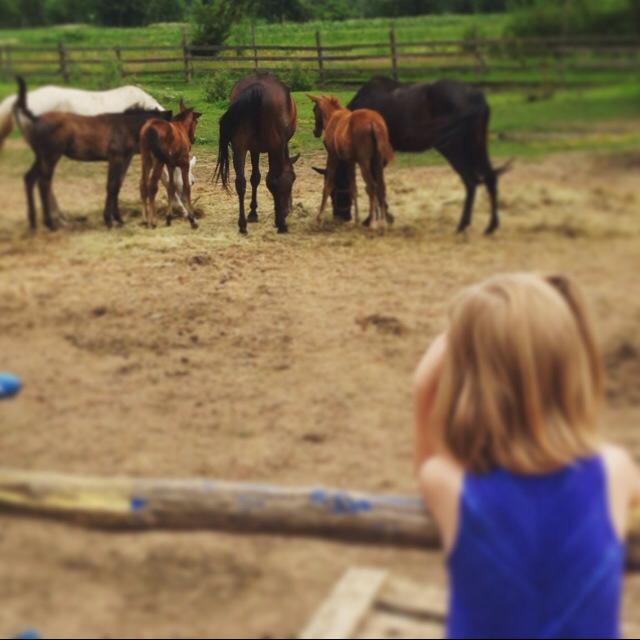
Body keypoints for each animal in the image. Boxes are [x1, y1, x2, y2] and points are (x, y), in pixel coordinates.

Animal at [141, 97, 201, 230]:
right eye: (196, 122)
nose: (193, 139)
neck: (180, 128)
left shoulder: (171, 165)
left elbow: (171, 187)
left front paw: (169, 218)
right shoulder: (184, 164)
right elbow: (186, 187)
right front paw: (192, 219)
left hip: (146, 159)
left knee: (143, 184)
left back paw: (145, 219)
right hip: (158, 161)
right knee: (152, 186)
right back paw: (152, 221)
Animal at [212, 73, 298, 232]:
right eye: (293, 179)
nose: (288, 209)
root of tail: (257, 89)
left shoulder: (253, 149)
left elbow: (255, 178)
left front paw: (252, 212)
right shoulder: (275, 148)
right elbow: (271, 180)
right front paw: (278, 216)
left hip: (239, 148)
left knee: (240, 182)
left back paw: (242, 224)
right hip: (274, 147)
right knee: (274, 179)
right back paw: (281, 223)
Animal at [310, 94, 396, 226]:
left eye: (314, 110)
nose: (315, 132)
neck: (332, 116)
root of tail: (374, 123)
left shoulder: (333, 155)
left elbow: (328, 185)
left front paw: (319, 218)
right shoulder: (350, 160)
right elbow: (353, 187)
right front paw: (356, 219)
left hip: (364, 162)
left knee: (371, 186)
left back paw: (372, 222)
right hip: (377, 161)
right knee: (381, 186)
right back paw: (382, 221)